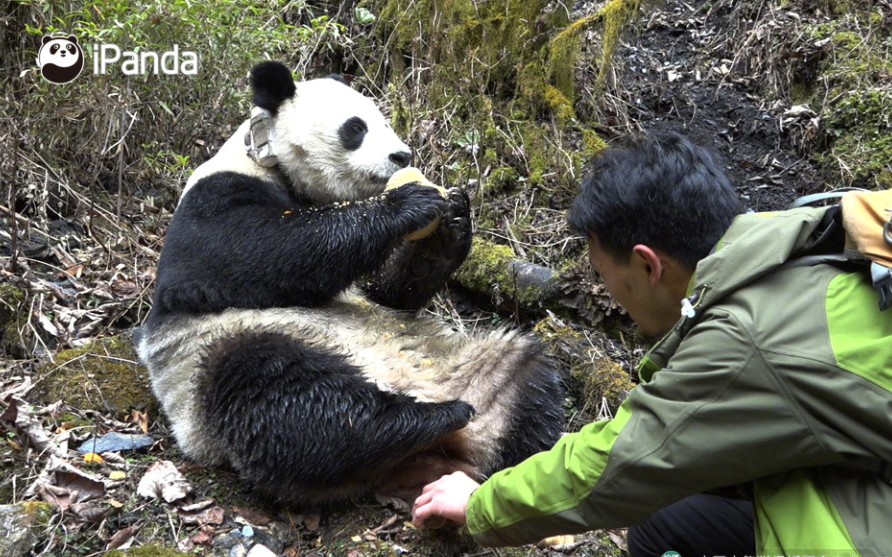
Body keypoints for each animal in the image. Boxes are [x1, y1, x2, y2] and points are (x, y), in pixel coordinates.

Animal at [134, 60, 564, 508]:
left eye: (385, 121)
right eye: (356, 127)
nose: (402, 155)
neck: (270, 160)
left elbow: (390, 296)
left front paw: (453, 221)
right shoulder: (210, 203)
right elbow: (264, 254)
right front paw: (408, 204)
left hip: (474, 362)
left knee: (530, 377)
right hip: (220, 355)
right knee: (286, 394)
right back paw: (421, 419)